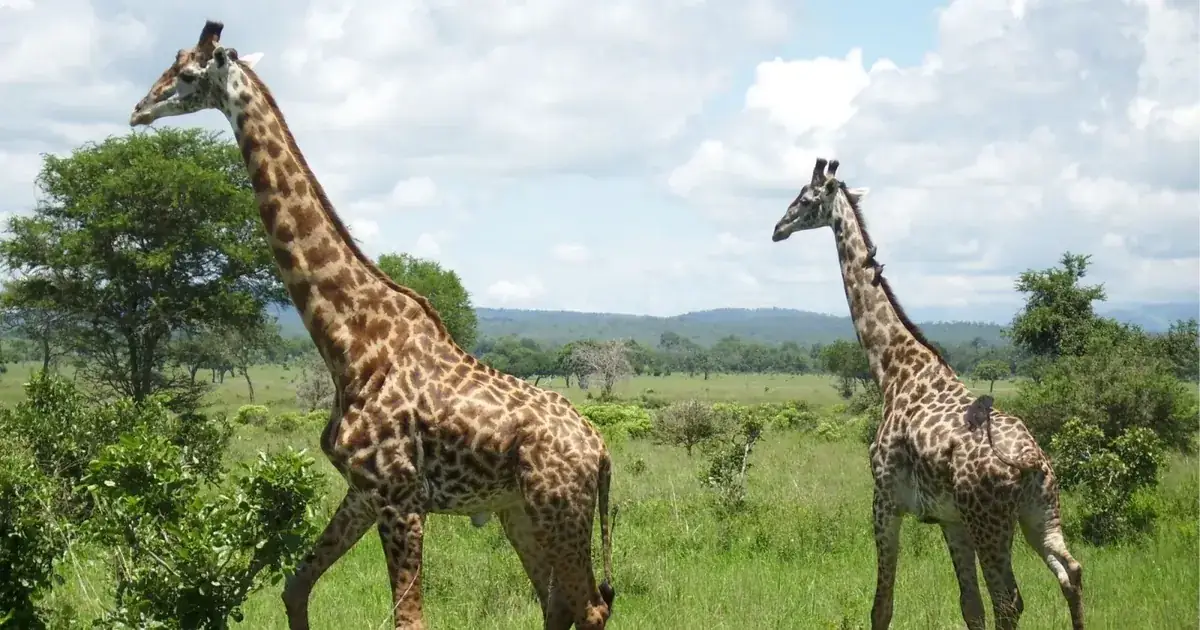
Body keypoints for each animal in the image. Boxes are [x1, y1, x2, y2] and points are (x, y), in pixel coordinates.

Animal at [129, 20, 615, 630]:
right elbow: (295, 587)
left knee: (589, 606)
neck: (350, 343)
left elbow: (408, 619)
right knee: (559, 604)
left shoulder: (400, 497)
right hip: (518, 512)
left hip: (559, 509)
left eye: (188, 73)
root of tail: (601, 451)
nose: (139, 109)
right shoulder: (363, 491)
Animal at [770, 158, 1084, 630]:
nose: (778, 228)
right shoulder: (950, 519)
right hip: (1040, 513)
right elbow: (969, 605)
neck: (892, 368)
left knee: (1010, 599)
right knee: (1071, 572)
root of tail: (1033, 461)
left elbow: (882, 606)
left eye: (805, 199)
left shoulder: (885, 499)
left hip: (991, 521)